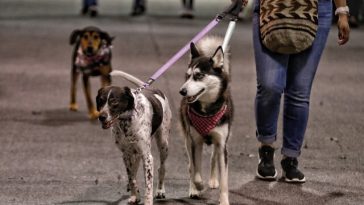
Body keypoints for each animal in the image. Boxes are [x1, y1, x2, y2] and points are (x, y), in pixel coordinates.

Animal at [96, 69, 171, 204]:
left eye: (114, 102)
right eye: (100, 100)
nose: (101, 117)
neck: (126, 122)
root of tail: (153, 89)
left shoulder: (147, 157)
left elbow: (148, 184)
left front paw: (147, 200)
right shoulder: (126, 155)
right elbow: (132, 177)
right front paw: (135, 196)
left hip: (163, 144)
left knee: (161, 168)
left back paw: (160, 190)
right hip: (135, 152)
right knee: (134, 170)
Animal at [178, 36, 233, 205]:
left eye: (199, 75)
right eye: (187, 75)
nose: (182, 91)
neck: (207, 110)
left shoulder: (222, 144)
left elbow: (225, 179)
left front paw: (224, 200)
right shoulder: (195, 142)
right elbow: (196, 172)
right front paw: (198, 186)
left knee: (213, 158)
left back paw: (213, 180)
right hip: (188, 140)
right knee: (191, 165)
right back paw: (193, 189)